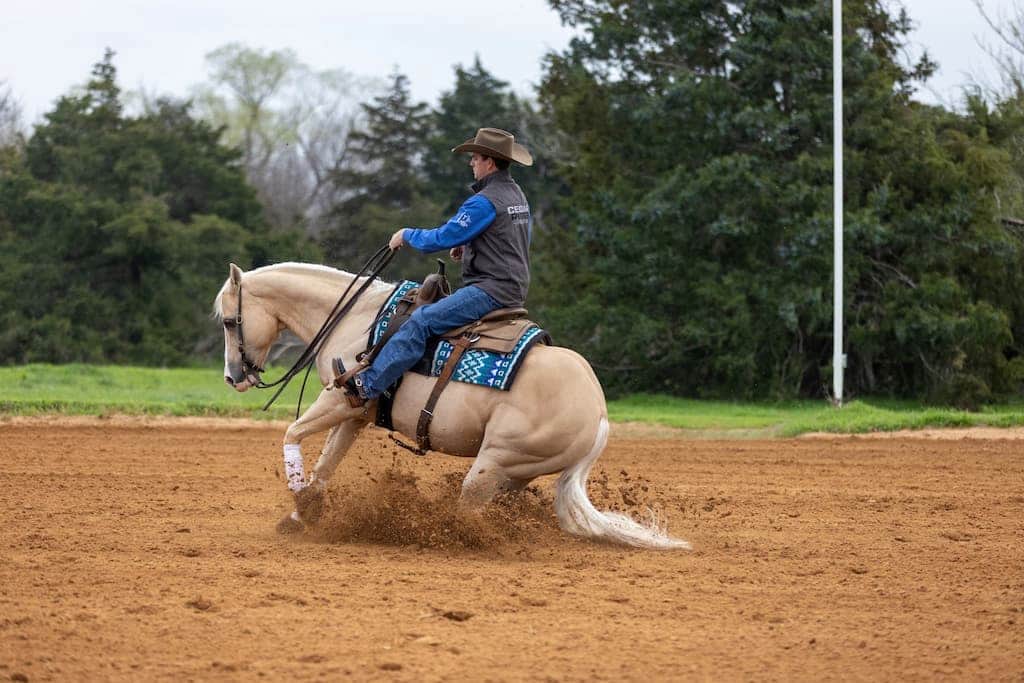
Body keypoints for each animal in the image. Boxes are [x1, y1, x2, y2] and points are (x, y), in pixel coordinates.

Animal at [214, 261, 689, 550]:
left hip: (492, 464)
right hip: (513, 473)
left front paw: (300, 503)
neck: (360, 319)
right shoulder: (355, 413)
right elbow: (326, 463)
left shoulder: (338, 400)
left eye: (229, 321)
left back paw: (442, 534)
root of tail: (600, 415)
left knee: (468, 508)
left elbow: (292, 434)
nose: (234, 377)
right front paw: (301, 515)